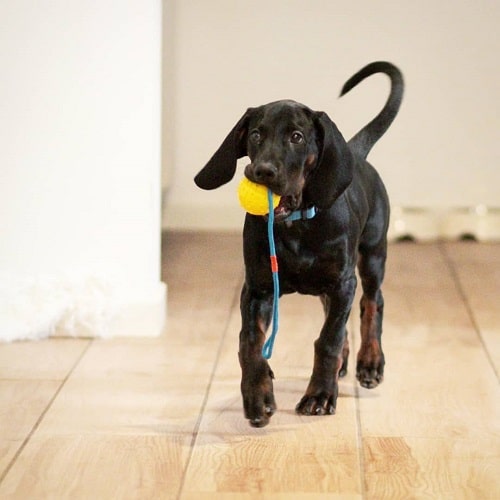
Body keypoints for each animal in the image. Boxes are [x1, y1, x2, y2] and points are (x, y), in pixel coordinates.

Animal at [194, 61, 402, 426]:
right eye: (256, 134)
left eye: (296, 137)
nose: (261, 171)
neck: (296, 226)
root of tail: (356, 153)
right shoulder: (258, 287)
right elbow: (249, 341)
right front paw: (257, 395)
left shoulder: (343, 282)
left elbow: (328, 339)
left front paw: (320, 395)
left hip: (372, 254)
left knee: (372, 303)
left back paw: (370, 362)